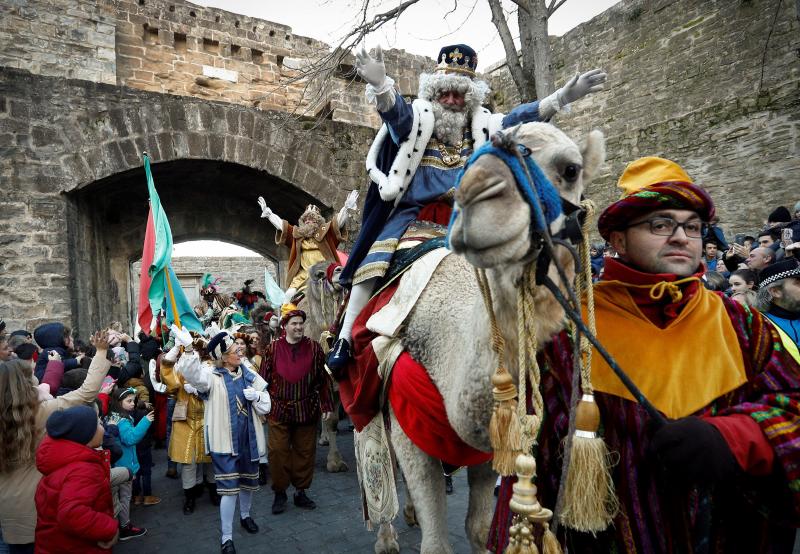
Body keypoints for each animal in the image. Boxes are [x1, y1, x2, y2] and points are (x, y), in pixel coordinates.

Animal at [372, 122, 604, 552]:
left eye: (571, 169)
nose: (479, 197)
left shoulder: (489, 443)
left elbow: (478, 528)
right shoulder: (409, 424)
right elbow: (435, 543)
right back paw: (386, 535)